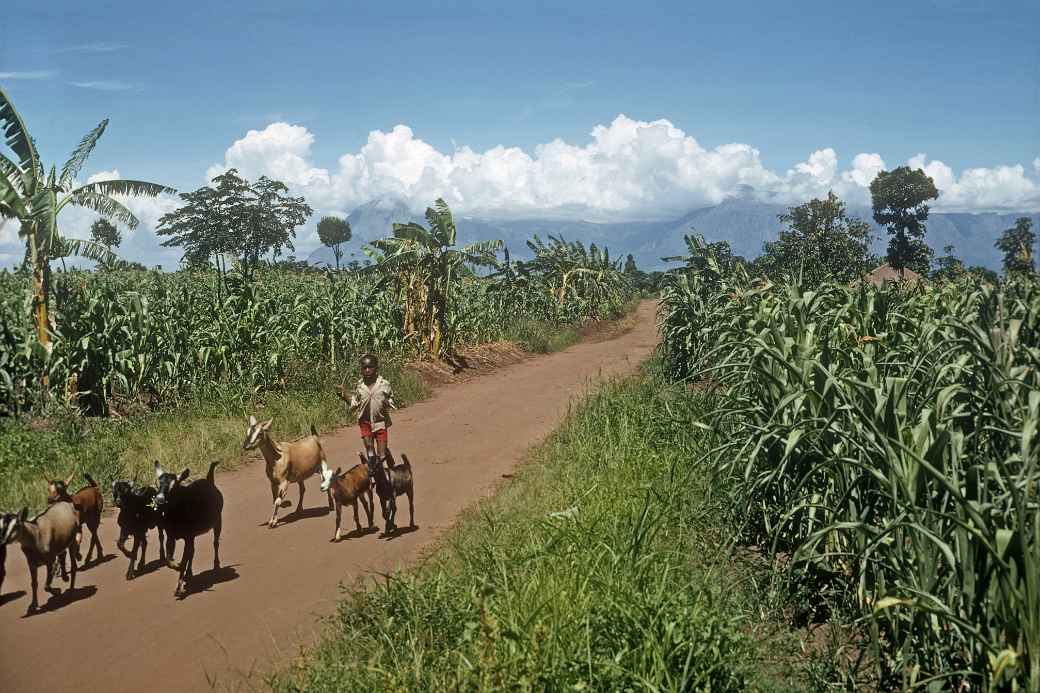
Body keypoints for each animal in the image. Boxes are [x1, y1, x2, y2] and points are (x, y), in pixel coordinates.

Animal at [153, 455, 223, 595]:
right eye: (158, 483)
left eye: (174, 486)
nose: (159, 499)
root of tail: (210, 481)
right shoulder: (172, 536)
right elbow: (169, 560)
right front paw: (177, 566)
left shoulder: (188, 537)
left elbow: (184, 558)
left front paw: (179, 587)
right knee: (192, 551)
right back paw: (189, 573)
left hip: (218, 521)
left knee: (215, 543)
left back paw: (216, 565)